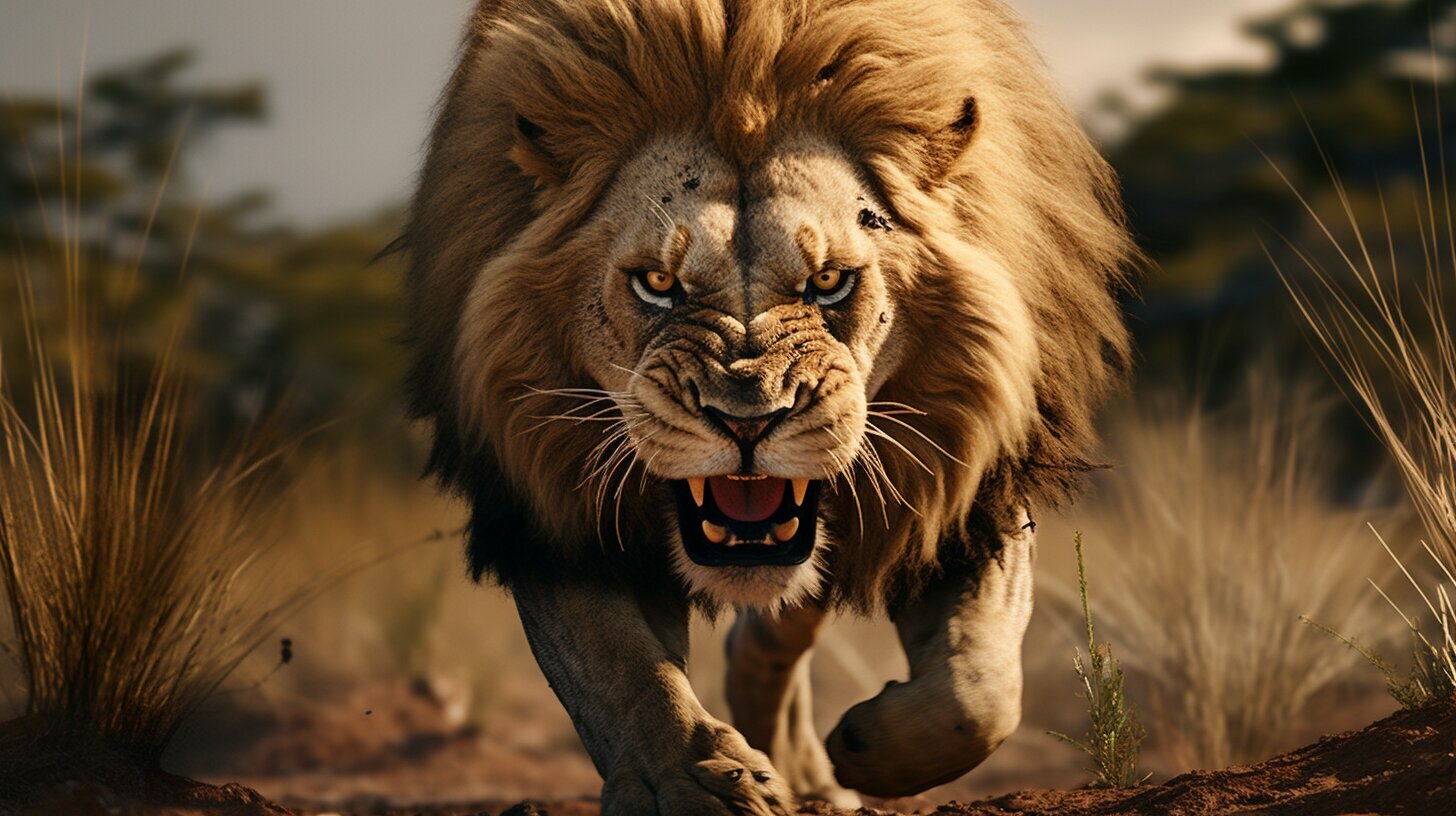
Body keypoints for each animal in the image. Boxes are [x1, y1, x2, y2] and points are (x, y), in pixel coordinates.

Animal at [402, 0, 1135, 812]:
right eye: (658, 283)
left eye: (830, 282)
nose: (747, 420)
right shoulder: (545, 499)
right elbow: (623, 668)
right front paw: (686, 780)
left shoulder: (972, 487)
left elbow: (978, 691)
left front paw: (868, 749)